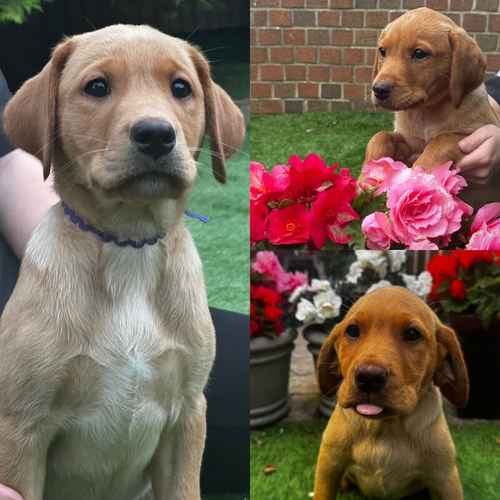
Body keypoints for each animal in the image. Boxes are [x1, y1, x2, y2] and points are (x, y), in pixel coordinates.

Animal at [0, 23, 246, 500]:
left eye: (181, 88)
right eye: (97, 87)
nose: (155, 134)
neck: (129, 247)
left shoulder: (187, 415)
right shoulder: (21, 427)